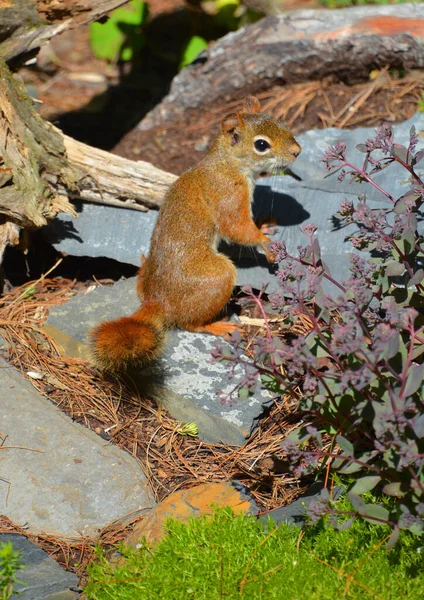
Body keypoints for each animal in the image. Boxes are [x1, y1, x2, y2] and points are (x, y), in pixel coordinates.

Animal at [90, 96, 300, 370]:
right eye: (261, 145)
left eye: (280, 122)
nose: (297, 151)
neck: (226, 164)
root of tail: (158, 301)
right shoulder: (228, 195)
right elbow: (236, 228)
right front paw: (265, 243)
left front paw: (263, 226)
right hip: (217, 278)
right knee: (189, 323)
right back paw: (217, 325)